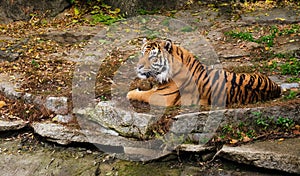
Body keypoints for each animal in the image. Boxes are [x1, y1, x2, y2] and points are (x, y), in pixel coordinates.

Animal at [126, 38, 282, 107]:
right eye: (142, 53)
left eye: (152, 57)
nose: (138, 66)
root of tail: (277, 87)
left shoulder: (163, 97)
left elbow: (142, 95)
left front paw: (131, 92)